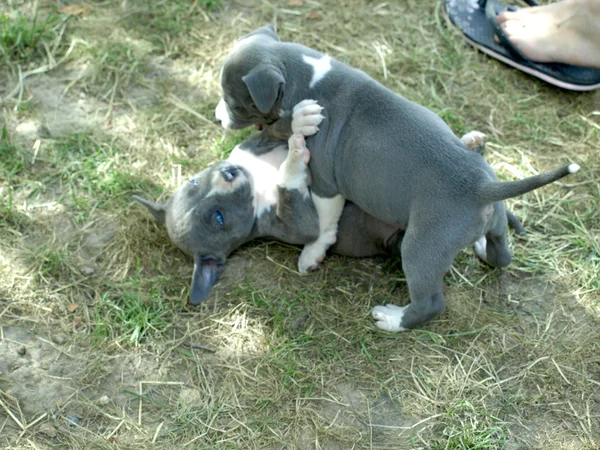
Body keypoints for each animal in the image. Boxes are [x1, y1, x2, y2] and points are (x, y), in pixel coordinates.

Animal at [213, 26, 580, 332]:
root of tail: (482, 189)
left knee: (431, 303)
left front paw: (311, 254)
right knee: (501, 255)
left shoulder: (327, 184)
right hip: (495, 224)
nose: (217, 118)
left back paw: (391, 320)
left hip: (421, 246)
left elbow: (323, 223)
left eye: (235, 103)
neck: (307, 76)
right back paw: (479, 247)